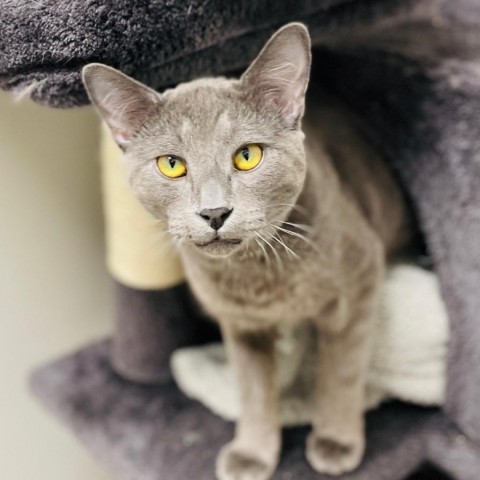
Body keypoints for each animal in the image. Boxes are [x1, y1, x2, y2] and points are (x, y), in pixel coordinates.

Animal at [81, 24, 412, 480]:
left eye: (247, 155)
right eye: (171, 164)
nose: (214, 212)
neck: (256, 275)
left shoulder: (359, 277)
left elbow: (341, 371)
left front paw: (335, 442)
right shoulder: (239, 322)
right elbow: (253, 388)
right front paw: (252, 454)